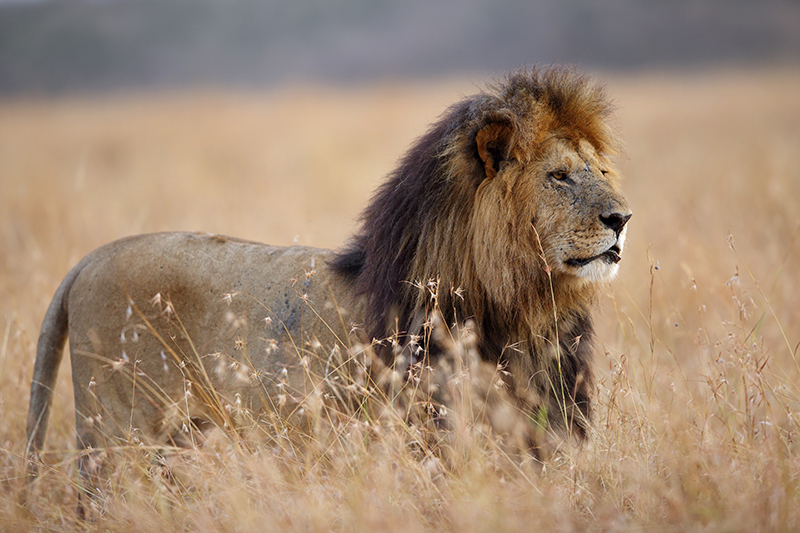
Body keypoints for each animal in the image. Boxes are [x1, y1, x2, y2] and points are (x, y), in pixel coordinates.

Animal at [25, 66, 632, 494]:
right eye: (559, 176)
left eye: (602, 171)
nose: (622, 218)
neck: (525, 308)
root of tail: (89, 260)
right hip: (115, 437)